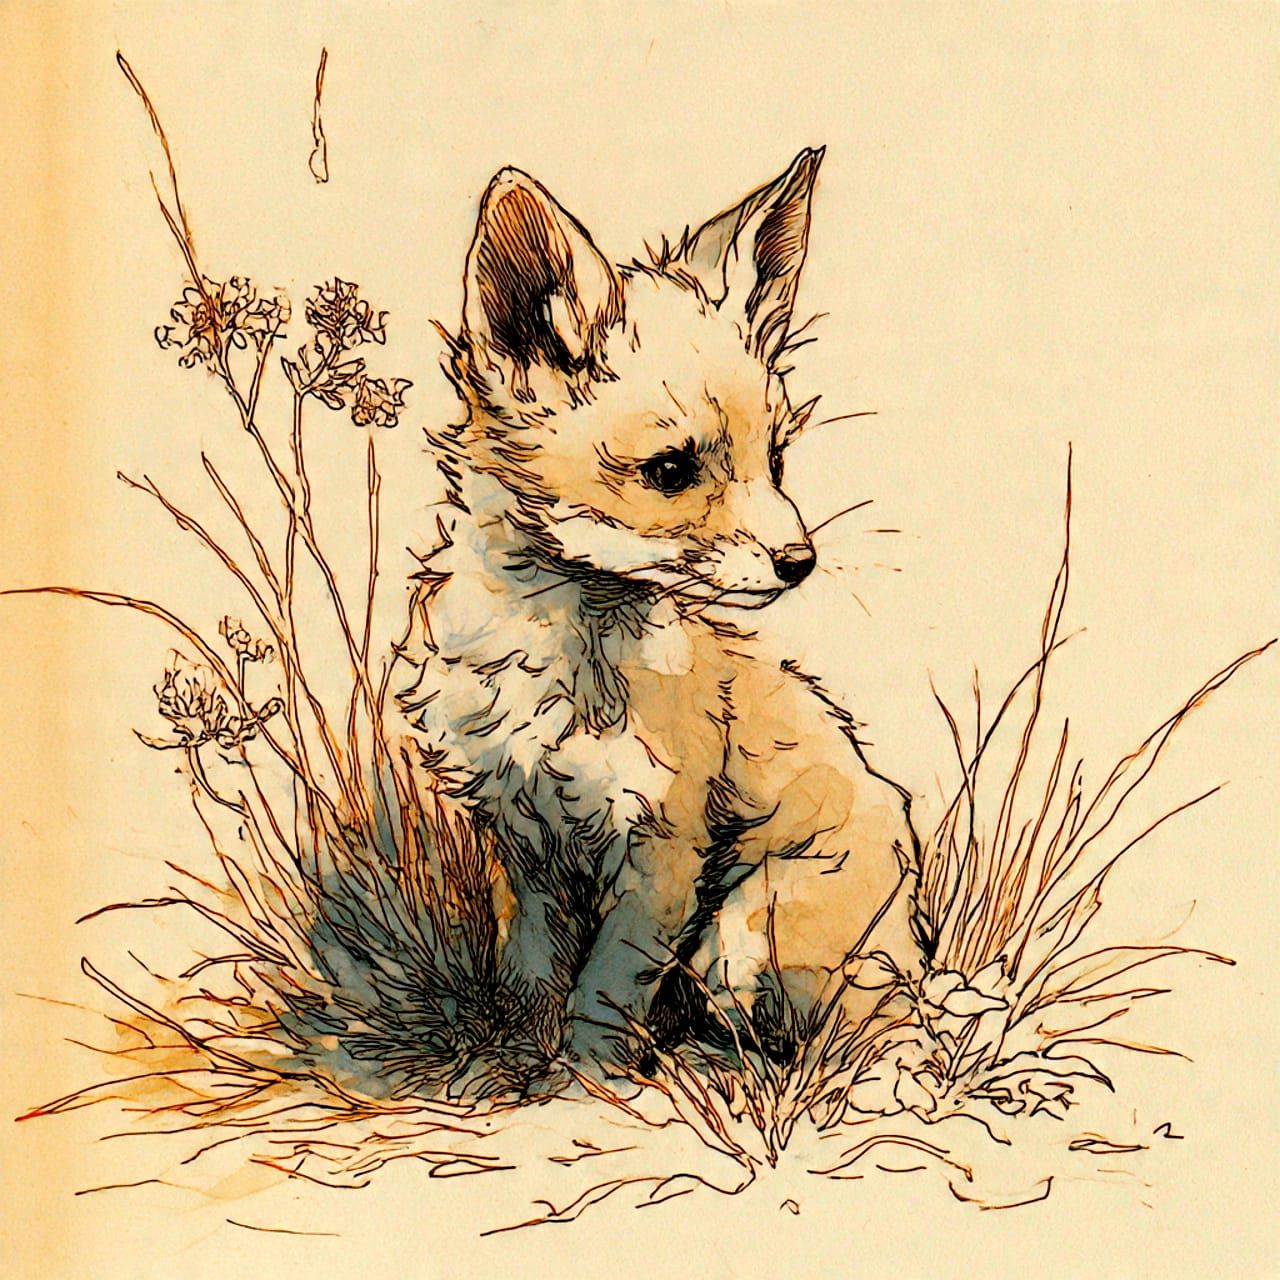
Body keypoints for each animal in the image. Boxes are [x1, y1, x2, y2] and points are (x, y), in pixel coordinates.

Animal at [392, 147, 926, 1072]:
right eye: (672, 470)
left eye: (775, 459)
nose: (800, 561)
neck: (560, 668)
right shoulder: (519, 838)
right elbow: (530, 976)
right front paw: (516, 1070)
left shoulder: (662, 845)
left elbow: (604, 994)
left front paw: (589, 1088)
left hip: (758, 927)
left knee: (821, 1021)